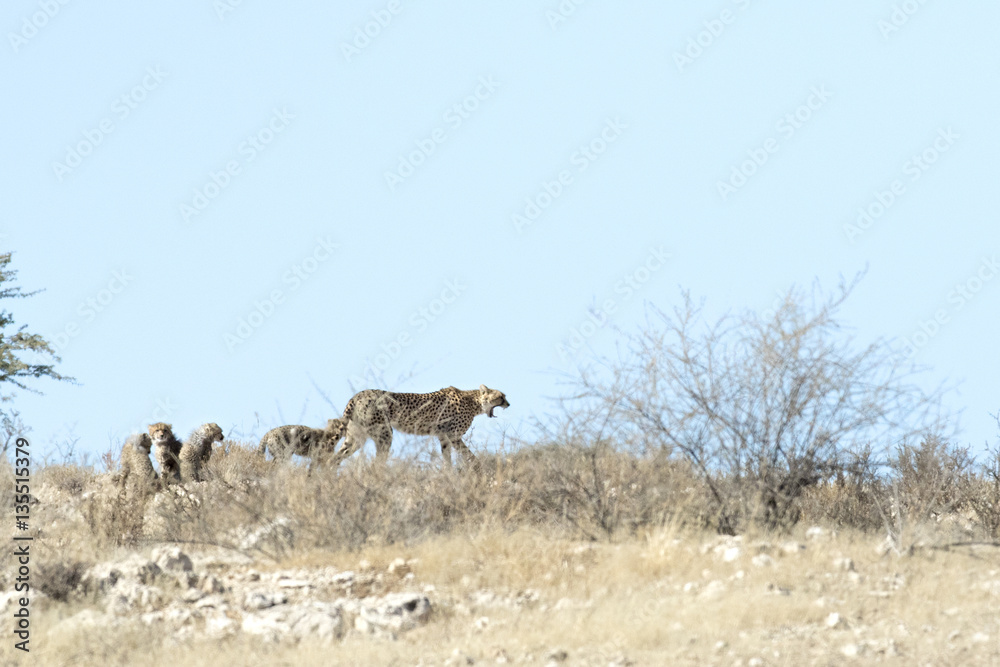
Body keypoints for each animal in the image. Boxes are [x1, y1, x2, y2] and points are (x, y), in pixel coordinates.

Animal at [329, 385, 509, 471]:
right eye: (501, 396)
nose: (508, 404)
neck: (474, 401)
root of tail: (358, 394)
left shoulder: (443, 437)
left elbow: (447, 458)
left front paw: (448, 474)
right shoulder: (453, 435)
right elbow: (469, 455)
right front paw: (480, 466)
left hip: (356, 437)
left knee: (335, 458)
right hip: (385, 434)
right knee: (377, 462)